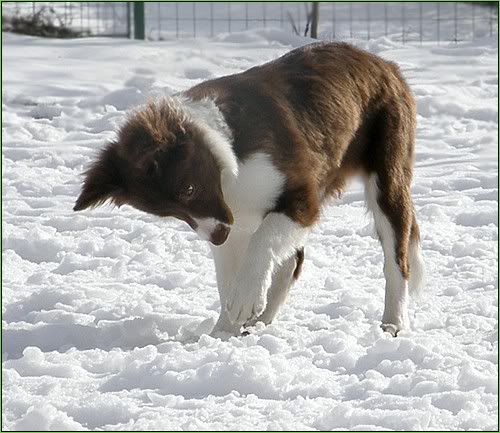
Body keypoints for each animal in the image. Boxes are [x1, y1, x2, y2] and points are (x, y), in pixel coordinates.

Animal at [75, 41, 426, 338]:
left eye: (188, 188)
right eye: (169, 213)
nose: (217, 236)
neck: (228, 159)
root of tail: (384, 63)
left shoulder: (299, 196)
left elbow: (262, 242)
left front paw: (244, 302)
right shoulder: (232, 218)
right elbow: (230, 272)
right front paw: (224, 332)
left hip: (387, 175)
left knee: (397, 258)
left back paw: (393, 323)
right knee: (293, 260)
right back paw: (261, 320)